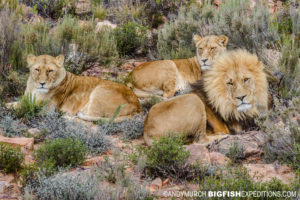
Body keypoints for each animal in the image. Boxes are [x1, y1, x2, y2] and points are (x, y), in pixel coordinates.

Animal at [9, 54, 141, 121]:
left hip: (99, 91)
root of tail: (137, 106)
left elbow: (18, 106)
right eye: (37, 69)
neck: (34, 89)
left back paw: (66, 115)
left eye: (50, 71)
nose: (42, 83)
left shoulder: (47, 108)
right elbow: (16, 103)